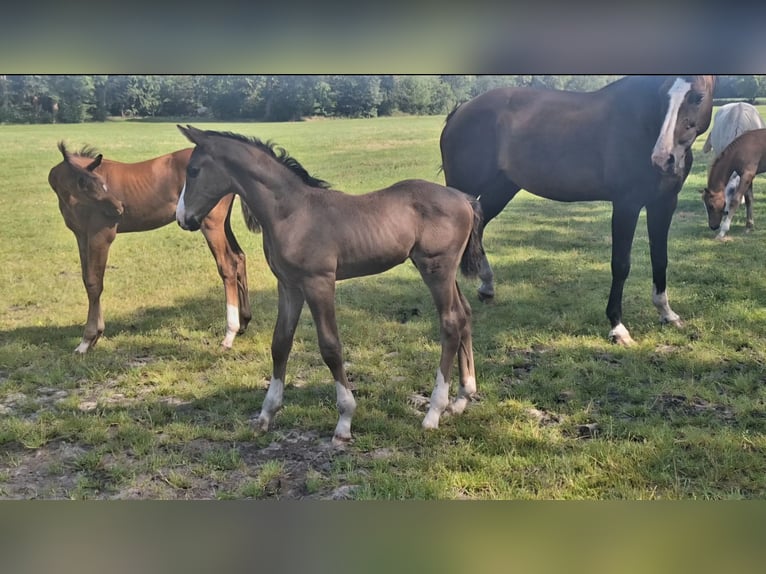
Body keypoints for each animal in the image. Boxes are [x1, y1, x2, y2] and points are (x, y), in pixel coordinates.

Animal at [47, 142, 252, 354]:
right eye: (87, 185)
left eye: (101, 183)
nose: (119, 208)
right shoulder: (82, 236)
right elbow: (87, 280)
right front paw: (96, 334)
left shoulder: (101, 236)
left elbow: (95, 283)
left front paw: (87, 340)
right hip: (222, 223)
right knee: (239, 257)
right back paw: (244, 322)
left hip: (211, 223)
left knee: (227, 265)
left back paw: (229, 334)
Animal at [177, 125, 484, 446]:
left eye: (194, 171)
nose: (183, 218)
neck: (291, 213)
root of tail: (465, 199)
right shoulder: (289, 285)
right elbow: (280, 344)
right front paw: (266, 415)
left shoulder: (319, 283)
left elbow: (331, 347)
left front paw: (344, 421)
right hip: (443, 272)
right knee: (464, 314)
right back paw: (462, 399)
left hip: (436, 268)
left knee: (450, 323)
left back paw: (433, 413)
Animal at [440, 76, 716, 346]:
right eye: (661, 95)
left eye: (698, 96)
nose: (662, 158)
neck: (644, 124)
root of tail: (461, 110)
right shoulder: (626, 204)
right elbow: (621, 264)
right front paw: (617, 327)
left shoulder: (664, 203)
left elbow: (660, 259)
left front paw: (667, 314)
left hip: (503, 187)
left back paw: (487, 286)